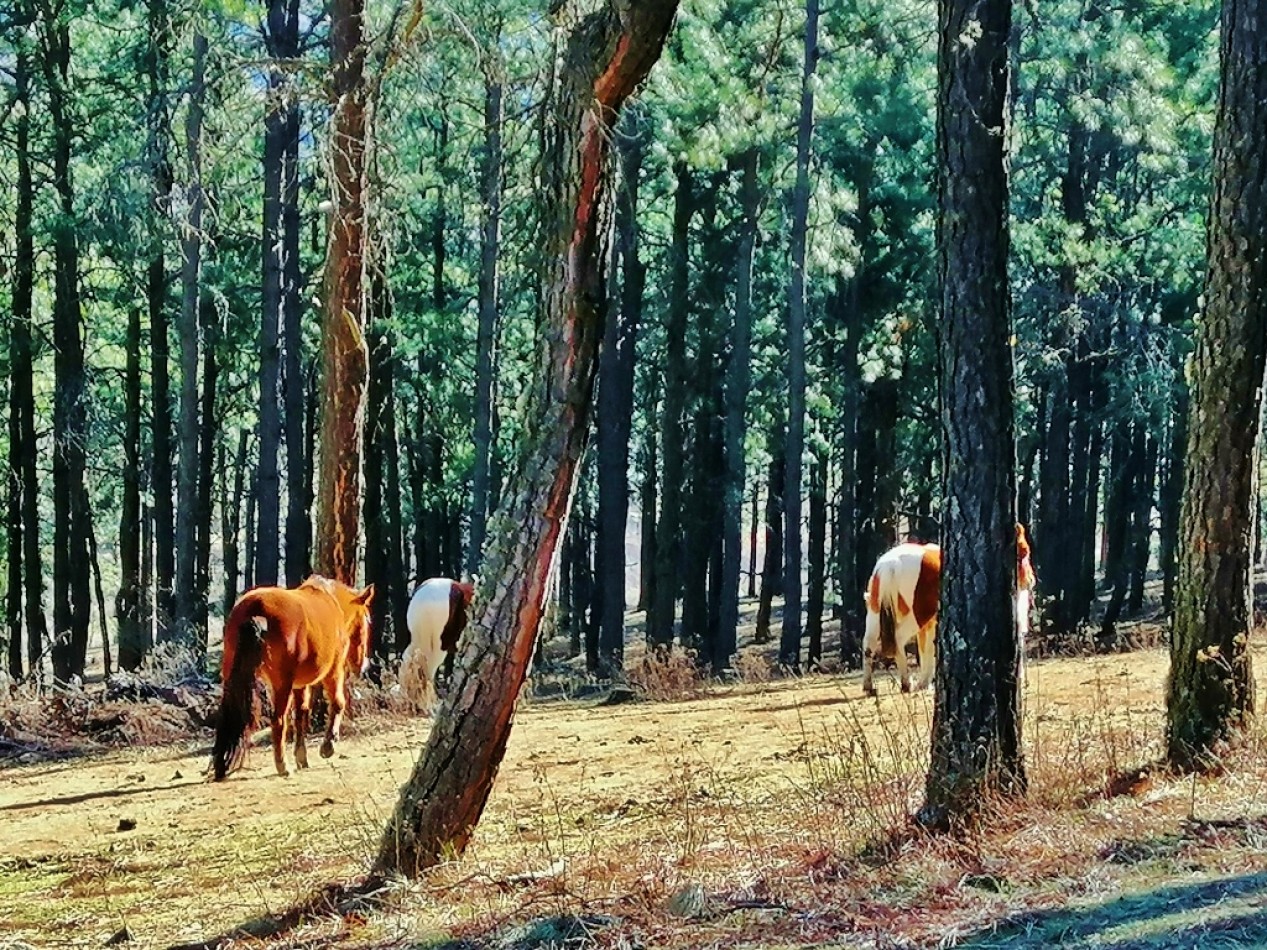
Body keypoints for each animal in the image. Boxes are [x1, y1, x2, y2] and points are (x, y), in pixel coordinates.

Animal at [207, 577, 372, 785]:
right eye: (367, 621)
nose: (363, 666)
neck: (333, 603)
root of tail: (256, 609)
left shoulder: (300, 685)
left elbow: (301, 714)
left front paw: (302, 757)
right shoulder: (333, 672)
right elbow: (337, 703)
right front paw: (328, 746)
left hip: (233, 677)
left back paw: (221, 766)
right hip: (281, 685)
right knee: (278, 720)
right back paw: (283, 766)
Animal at [861, 524, 1038, 694]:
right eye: (1024, 552)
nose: (1030, 581)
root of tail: (890, 564)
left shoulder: (930, 626)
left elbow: (926, 649)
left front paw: (925, 684)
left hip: (876, 611)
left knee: (869, 643)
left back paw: (869, 686)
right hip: (918, 615)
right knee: (898, 638)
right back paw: (905, 683)